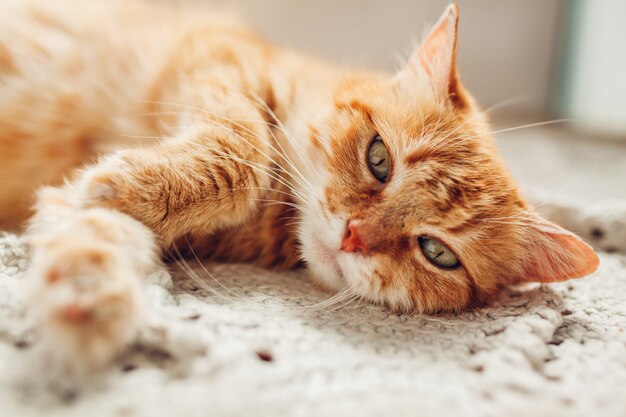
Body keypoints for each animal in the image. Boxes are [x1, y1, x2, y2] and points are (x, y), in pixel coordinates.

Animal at [0, 0, 596, 370]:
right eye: (379, 159)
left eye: (438, 253)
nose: (355, 235)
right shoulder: (215, 56)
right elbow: (245, 154)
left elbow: (96, 228)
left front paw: (87, 292)